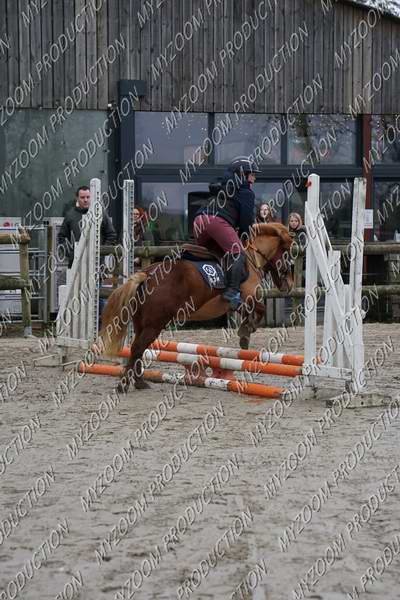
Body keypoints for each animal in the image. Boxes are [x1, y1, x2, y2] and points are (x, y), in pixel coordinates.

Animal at [98, 222, 294, 393]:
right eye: (288, 253)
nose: (289, 285)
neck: (252, 260)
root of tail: (147, 274)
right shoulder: (248, 299)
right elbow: (259, 311)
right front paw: (246, 332)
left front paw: (246, 330)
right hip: (155, 324)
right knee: (138, 348)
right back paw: (124, 385)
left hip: (142, 323)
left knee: (137, 349)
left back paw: (139, 382)